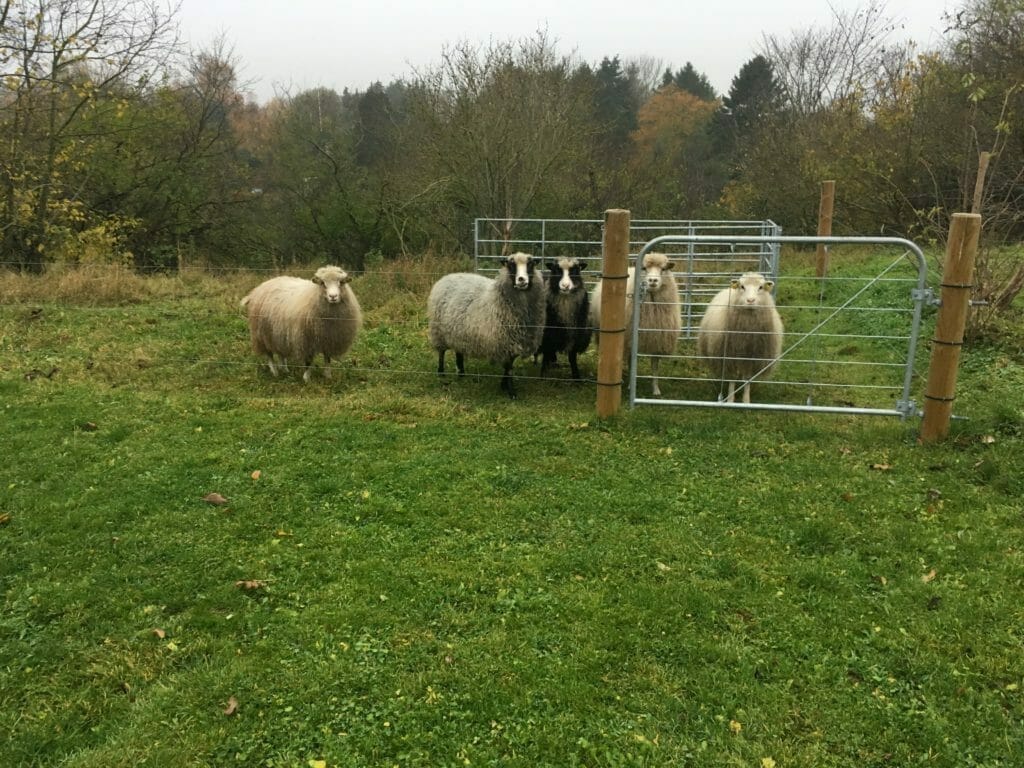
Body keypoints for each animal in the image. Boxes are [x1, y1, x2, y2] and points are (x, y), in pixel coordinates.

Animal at [428, 252, 548, 399]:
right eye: (511, 265)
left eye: (530, 264)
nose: (521, 280)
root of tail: (448, 276)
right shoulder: (504, 341)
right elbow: (508, 368)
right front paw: (511, 391)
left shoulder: (514, 342)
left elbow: (509, 366)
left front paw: (503, 385)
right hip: (438, 331)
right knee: (441, 352)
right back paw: (441, 372)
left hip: (458, 330)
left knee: (458, 350)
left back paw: (461, 372)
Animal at [589, 252, 684, 397]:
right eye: (644, 268)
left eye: (663, 269)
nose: (653, 281)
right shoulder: (630, 339)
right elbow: (630, 362)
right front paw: (630, 385)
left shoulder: (657, 340)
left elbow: (655, 366)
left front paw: (656, 389)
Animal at [696, 270, 782, 403]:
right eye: (742, 286)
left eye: (761, 287)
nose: (750, 300)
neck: (746, 335)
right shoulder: (729, 357)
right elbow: (732, 378)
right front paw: (731, 399)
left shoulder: (751, 359)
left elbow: (747, 379)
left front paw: (746, 400)